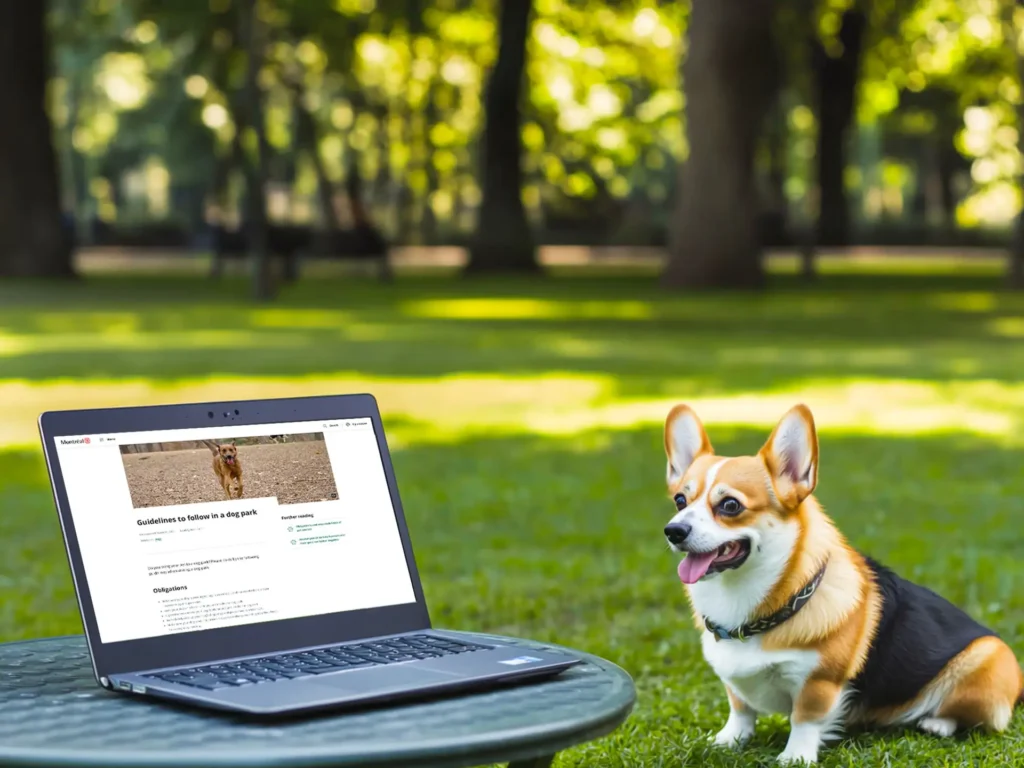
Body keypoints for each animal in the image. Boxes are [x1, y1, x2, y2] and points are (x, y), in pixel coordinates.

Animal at [659, 405, 1019, 765]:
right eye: (680, 500)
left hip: (983, 658)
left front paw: (795, 757)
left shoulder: (819, 682)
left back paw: (936, 723)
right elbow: (740, 709)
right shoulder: (734, 682)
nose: (673, 531)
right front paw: (728, 740)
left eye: (730, 505)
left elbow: (804, 718)